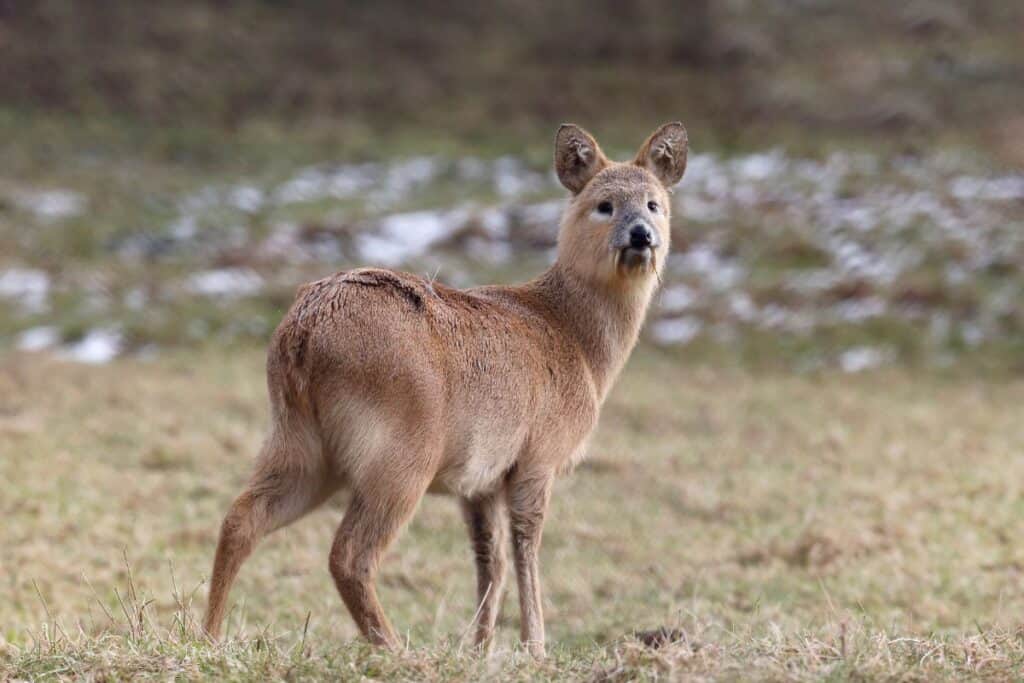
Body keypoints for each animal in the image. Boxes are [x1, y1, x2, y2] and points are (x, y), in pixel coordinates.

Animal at [201, 122, 688, 655]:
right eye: (604, 205)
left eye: (654, 203)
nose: (642, 235)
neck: (576, 341)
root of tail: (302, 331)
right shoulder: (538, 456)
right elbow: (526, 548)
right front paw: (534, 648)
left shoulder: (478, 479)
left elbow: (489, 558)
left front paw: (480, 650)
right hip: (400, 450)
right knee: (349, 554)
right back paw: (395, 650)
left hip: (299, 442)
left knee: (241, 518)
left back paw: (209, 636)